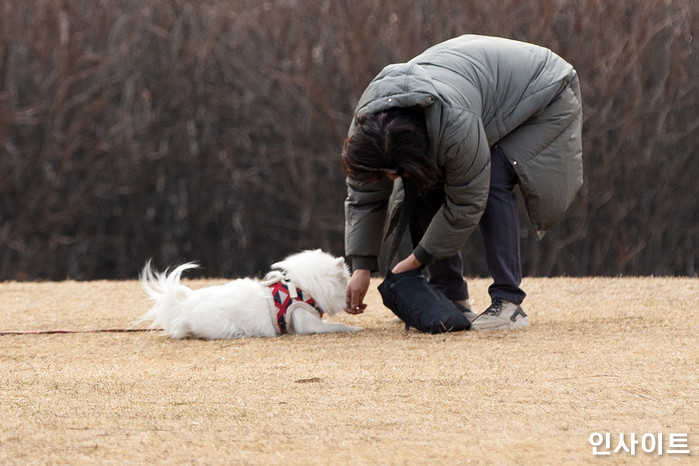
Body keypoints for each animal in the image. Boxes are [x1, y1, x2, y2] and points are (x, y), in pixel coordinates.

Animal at [137, 251, 360, 338]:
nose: (352, 295)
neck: (301, 287)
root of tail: (184, 304)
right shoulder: (309, 324)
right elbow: (337, 326)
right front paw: (354, 327)